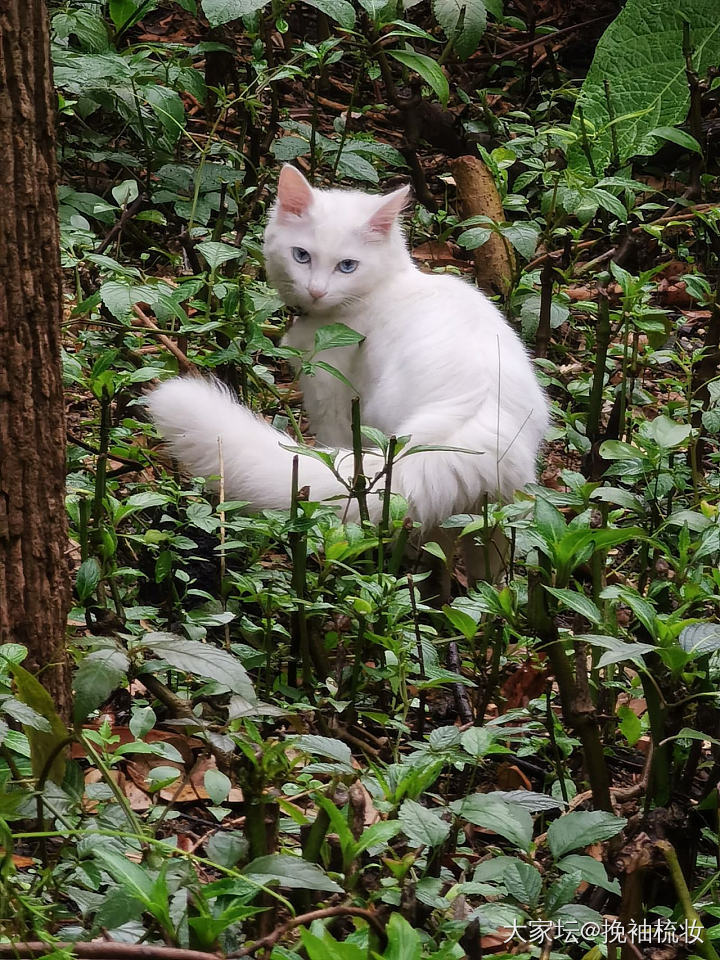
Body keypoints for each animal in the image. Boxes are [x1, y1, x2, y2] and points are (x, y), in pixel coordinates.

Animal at [149, 165, 548, 576]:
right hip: (495, 514)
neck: (386, 286)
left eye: (347, 266)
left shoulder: (328, 389)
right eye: (302, 256)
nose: (316, 291)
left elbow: (331, 443)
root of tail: (465, 431)